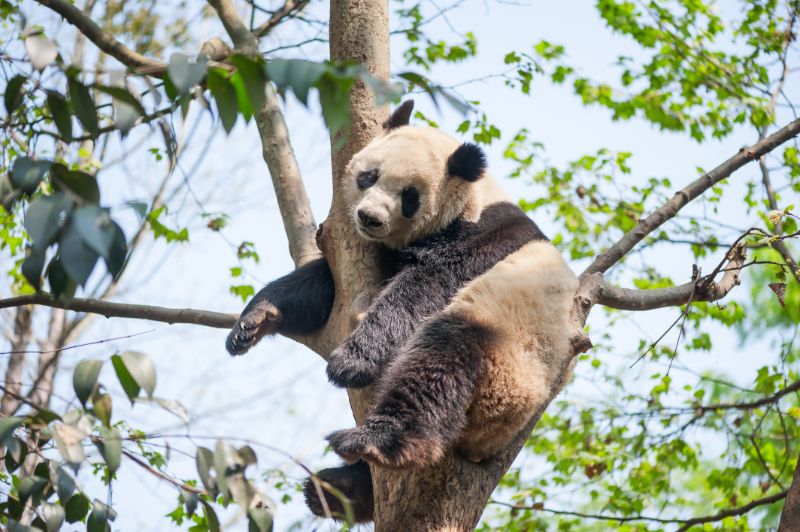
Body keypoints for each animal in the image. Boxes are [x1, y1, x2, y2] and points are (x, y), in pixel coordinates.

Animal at [225, 101, 580, 524]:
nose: (370, 218)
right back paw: (339, 491)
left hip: (506, 360)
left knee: (439, 362)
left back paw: (373, 443)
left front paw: (352, 361)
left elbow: (420, 290)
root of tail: (482, 443)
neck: (474, 199)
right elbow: (322, 288)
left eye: (409, 196)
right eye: (368, 176)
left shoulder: (478, 241)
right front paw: (253, 322)